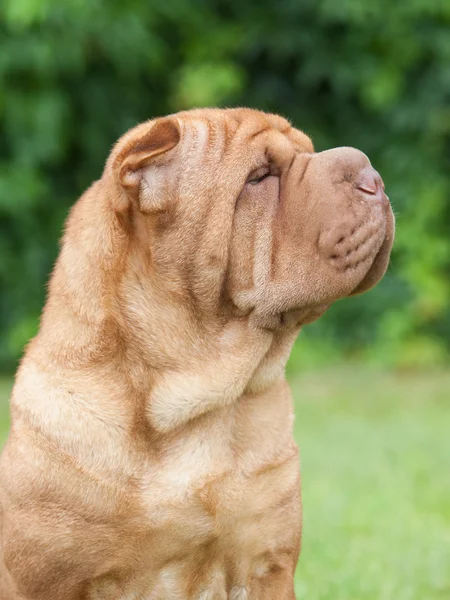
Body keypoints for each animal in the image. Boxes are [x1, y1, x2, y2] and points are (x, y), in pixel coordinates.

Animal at [0, 105, 394, 596]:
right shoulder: (44, 580)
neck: (189, 403)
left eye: (308, 150)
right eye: (259, 176)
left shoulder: (266, 564)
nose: (370, 172)